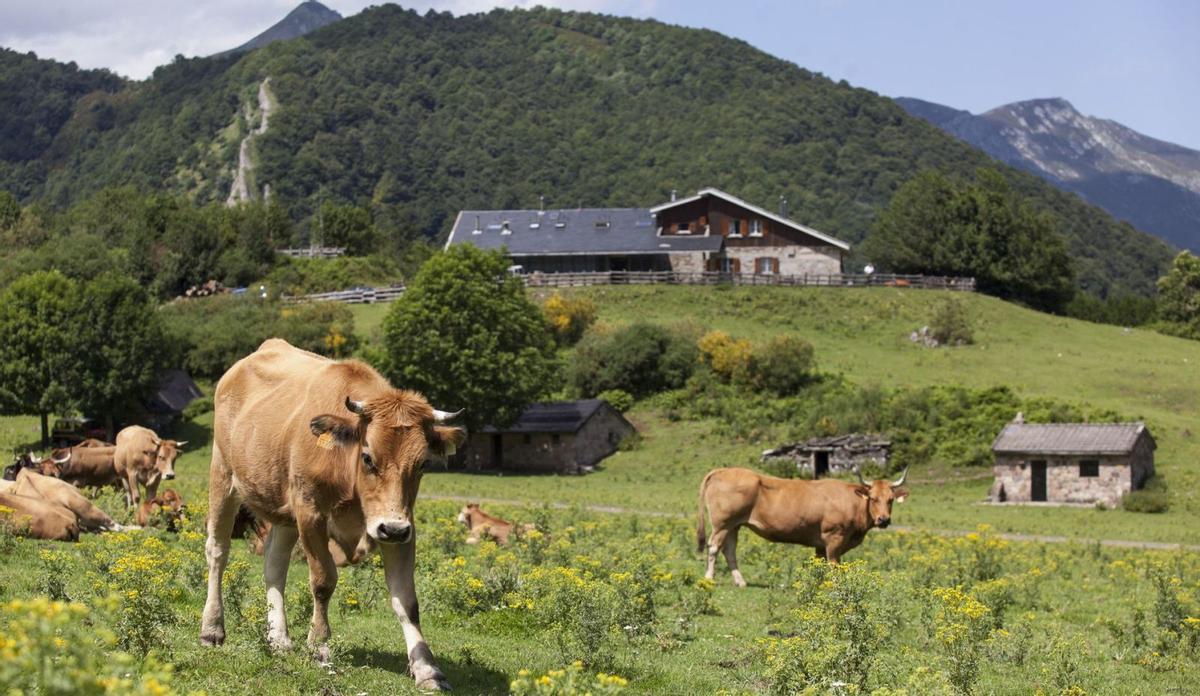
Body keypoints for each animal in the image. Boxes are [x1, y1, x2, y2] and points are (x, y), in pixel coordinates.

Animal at [196, 338, 463, 691]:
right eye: (368, 457)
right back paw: (212, 628)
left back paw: (279, 639)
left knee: (274, 564)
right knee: (217, 551)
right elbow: (323, 581)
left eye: (422, 464)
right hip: (223, 475)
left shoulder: (401, 524)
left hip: (284, 508)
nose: (391, 529)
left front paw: (427, 668)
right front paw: (319, 647)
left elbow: (407, 600)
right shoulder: (311, 513)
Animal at [696, 465, 907, 585]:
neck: (853, 502)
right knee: (714, 547)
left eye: (890, 499)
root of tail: (723, 470)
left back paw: (740, 581)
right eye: (873, 498)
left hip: (734, 525)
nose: (884, 520)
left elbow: (820, 566)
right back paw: (709, 578)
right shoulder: (834, 539)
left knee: (729, 550)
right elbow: (834, 566)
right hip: (722, 524)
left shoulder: (821, 545)